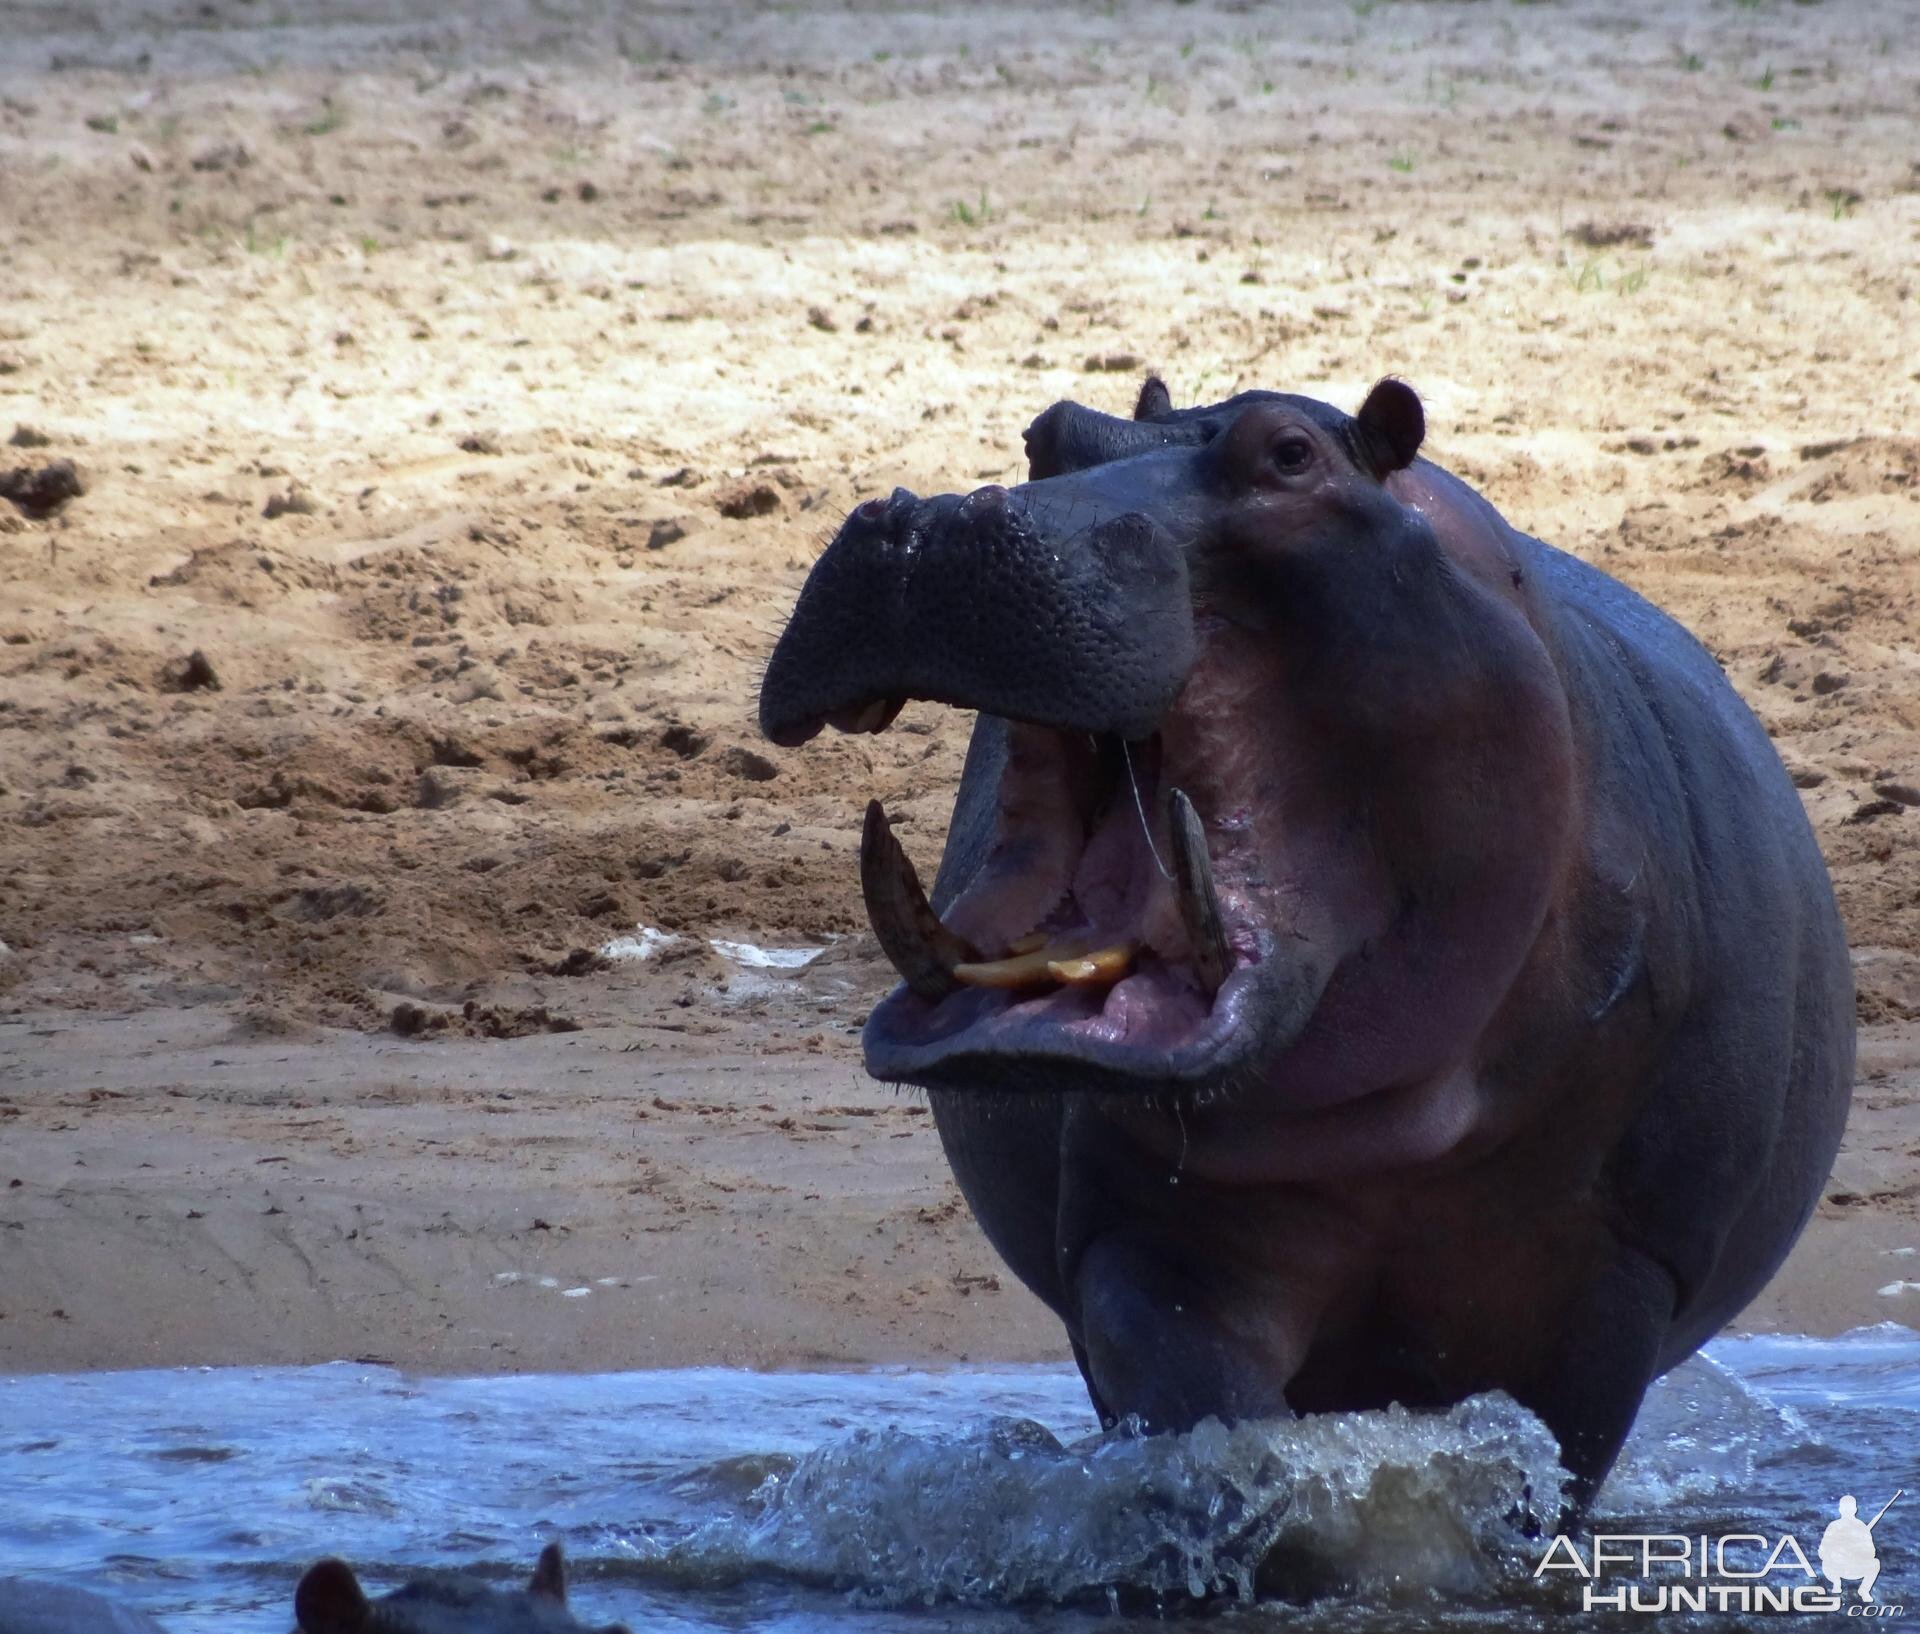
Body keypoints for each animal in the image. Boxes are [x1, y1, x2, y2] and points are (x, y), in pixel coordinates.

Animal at [756, 376, 1850, 1505]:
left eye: (1290, 454)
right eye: (1046, 434)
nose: (939, 520)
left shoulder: (1620, 1274)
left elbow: (1551, 1467)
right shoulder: (1145, 1241)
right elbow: (1209, 1415)